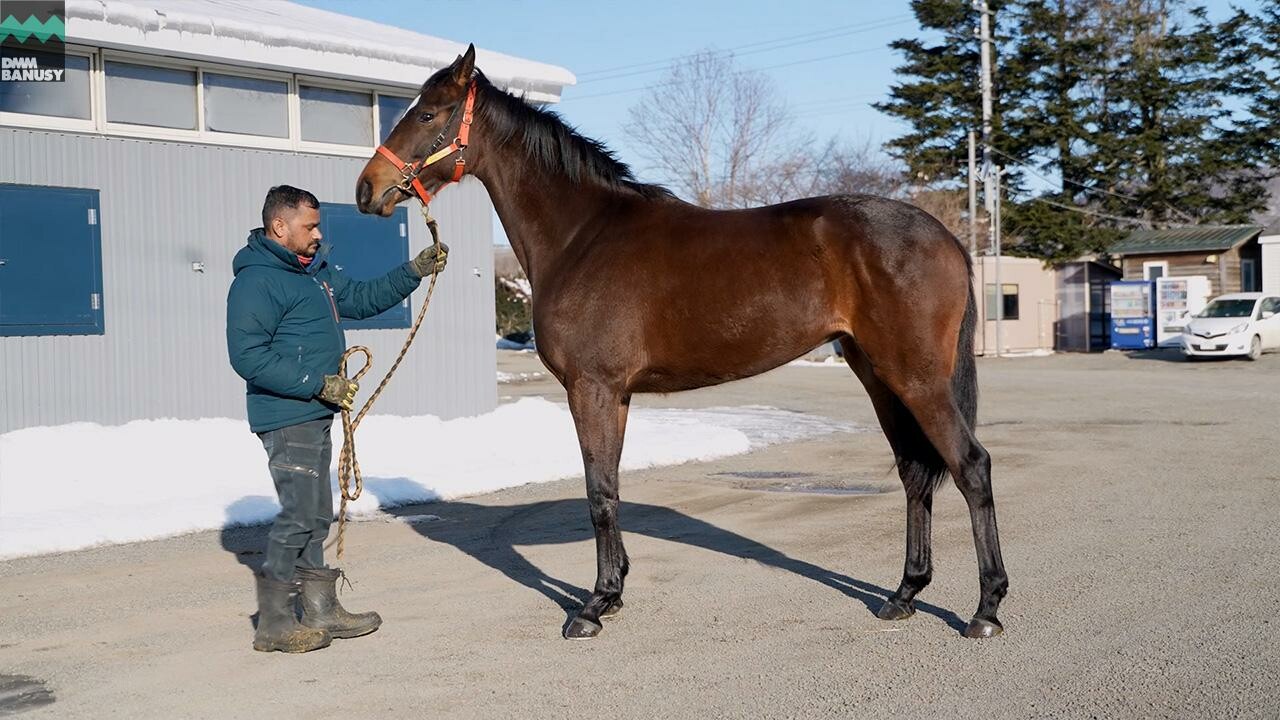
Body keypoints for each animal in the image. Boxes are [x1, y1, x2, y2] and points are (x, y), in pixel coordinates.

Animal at [358, 46, 1008, 638]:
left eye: (426, 113)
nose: (367, 190)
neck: (582, 235)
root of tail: (945, 236)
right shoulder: (615, 395)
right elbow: (611, 487)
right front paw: (614, 590)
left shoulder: (591, 389)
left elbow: (598, 493)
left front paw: (591, 608)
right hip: (877, 375)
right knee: (915, 473)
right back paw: (904, 595)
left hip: (915, 377)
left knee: (971, 466)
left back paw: (985, 610)